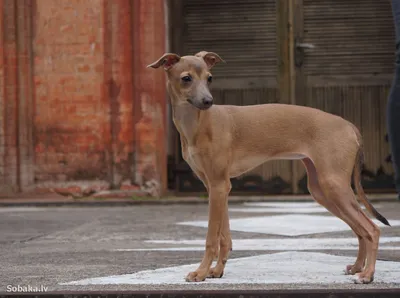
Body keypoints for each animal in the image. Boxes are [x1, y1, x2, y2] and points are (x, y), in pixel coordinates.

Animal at [148, 50, 390, 284]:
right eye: (186, 78)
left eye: (210, 78)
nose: (208, 101)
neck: (198, 123)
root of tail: (349, 125)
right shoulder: (216, 187)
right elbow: (224, 236)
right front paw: (216, 271)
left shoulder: (219, 186)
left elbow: (211, 238)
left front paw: (200, 272)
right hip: (322, 190)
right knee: (360, 230)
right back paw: (358, 267)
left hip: (334, 186)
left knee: (372, 229)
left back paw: (367, 274)